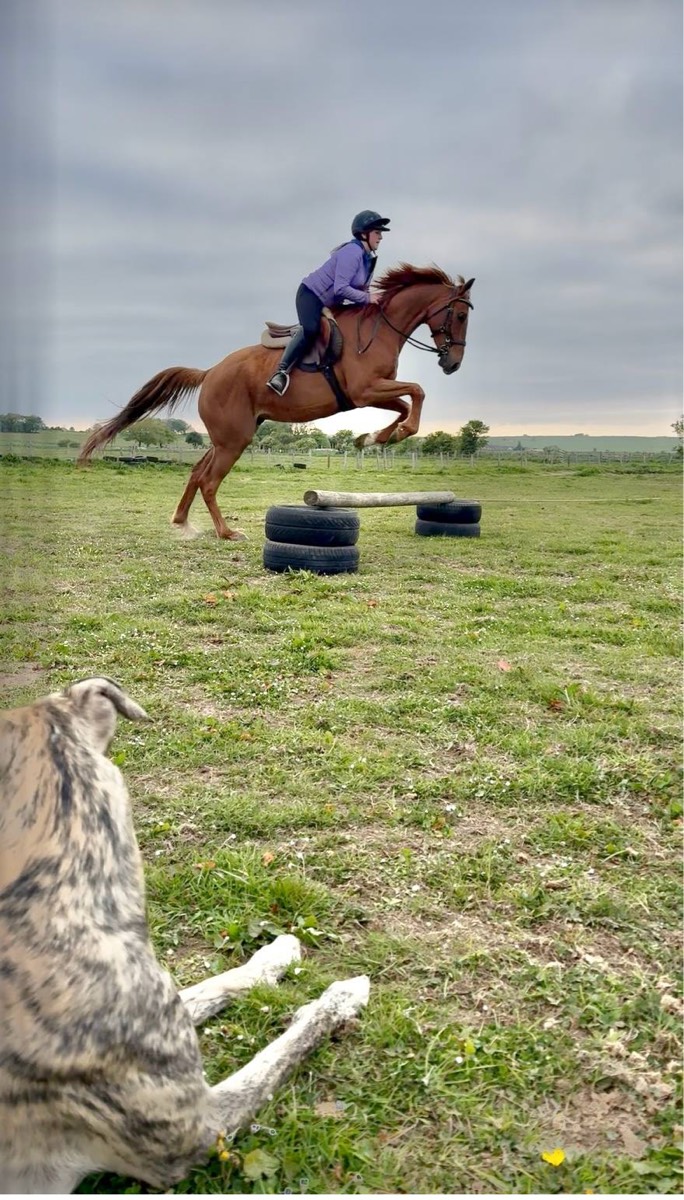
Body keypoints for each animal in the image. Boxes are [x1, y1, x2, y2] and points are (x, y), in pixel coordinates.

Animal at [78, 264, 474, 540]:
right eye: (460, 314)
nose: (453, 364)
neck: (379, 331)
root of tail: (210, 372)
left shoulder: (370, 393)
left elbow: (406, 404)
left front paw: (375, 438)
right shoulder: (366, 390)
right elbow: (418, 392)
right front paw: (389, 434)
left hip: (227, 436)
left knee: (196, 473)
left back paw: (182, 523)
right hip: (235, 439)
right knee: (209, 481)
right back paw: (225, 532)